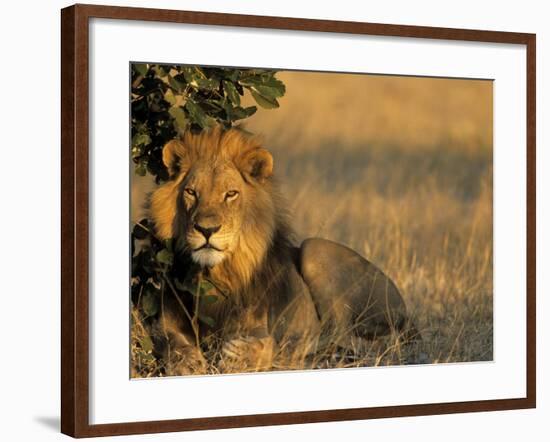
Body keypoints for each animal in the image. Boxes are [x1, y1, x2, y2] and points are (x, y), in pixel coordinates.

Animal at [147, 126, 418, 374]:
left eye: (231, 194)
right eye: (191, 192)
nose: (206, 229)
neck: (214, 273)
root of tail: (406, 311)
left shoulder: (255, 323)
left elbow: (263, 344)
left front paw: (241, 355)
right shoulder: (166, 318)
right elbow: (170, 341)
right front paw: (188, 363)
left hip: (315, 249)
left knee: (339, 339)